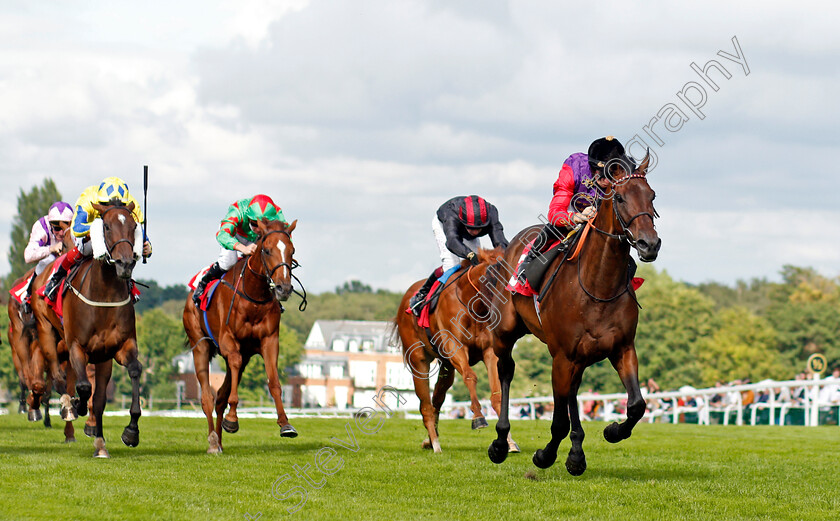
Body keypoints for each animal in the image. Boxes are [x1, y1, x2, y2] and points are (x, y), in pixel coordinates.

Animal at [32, 201, 144, 458]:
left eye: (134, 226)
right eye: (107, 226)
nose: (125, 264)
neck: (104, 295)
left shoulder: (120, 347)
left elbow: (134, 371)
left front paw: (131, 431)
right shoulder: (76, 346)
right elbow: (83, 387)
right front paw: (75, 406)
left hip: (99, 357)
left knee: (98, 397)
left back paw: (98, 442)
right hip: (47, 332)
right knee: (59, 376)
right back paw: (68, 407)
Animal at [182, 217, 300, 452]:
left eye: (291, 251)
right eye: (267, 250)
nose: (283, 288)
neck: (254, 297)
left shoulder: (269, 340)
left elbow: (274, 380)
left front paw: (285, 424)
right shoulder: (229, 340)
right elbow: (233, 366)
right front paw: (232, 419)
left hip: (243, 354)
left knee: (220, 396)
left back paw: (219, 442)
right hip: (199, 345)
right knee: (207, 397)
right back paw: (212, 441)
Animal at [394, 246, 520, 452]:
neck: (473, 305)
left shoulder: (489, 352)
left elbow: (497, 395)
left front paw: (508, 442)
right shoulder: (455, 347)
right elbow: (470, 376)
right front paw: (478, 418)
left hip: (446, 365)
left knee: (437, 399)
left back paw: (430, 440)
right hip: (418, 361)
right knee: (426, 405)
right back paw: (436, 444)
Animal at [488, 152, 660, 474]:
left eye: (651, 195)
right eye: (619, 197)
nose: (649, 244)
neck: (598, 287)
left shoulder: (622, 348)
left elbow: (636, 405)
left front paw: (612, 431)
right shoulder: (561, 357)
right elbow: (557, 421)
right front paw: (544, 455)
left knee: (573, 391)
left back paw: (577, 452)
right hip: (505, 332)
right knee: (505, 371)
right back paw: (501, 442)